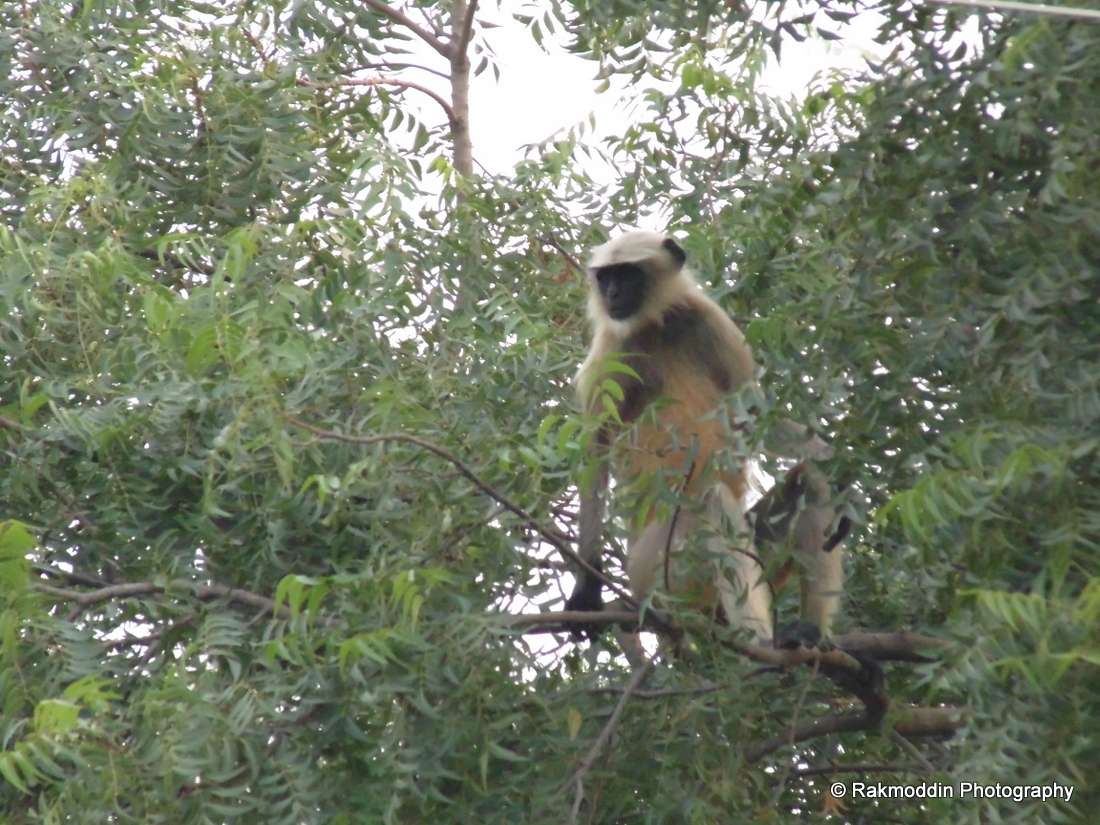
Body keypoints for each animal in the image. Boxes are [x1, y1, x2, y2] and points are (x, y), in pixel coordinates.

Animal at [563, 229, 844, 651]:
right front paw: (585, 593)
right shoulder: (611, 349)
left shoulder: (709, 321)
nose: (611, 294)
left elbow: (756, 415)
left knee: (811, 482)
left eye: (627, 276)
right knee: (713, 502)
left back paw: (808, 633)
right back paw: (763, 643)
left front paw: (839, 465)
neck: (656, 326)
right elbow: (596, 451)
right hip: (661, 569)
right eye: (606, 277)